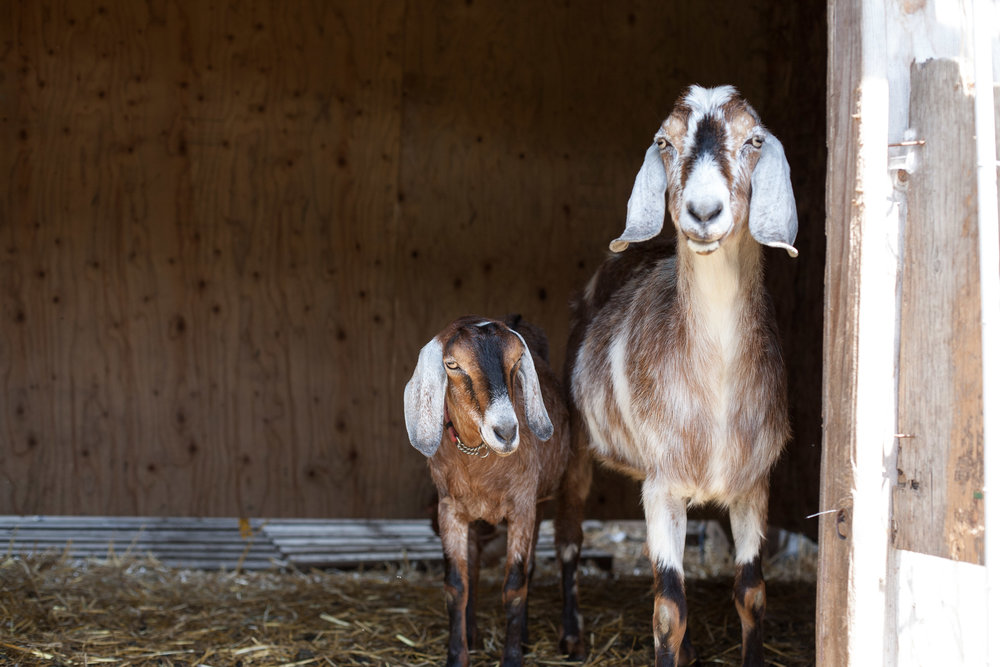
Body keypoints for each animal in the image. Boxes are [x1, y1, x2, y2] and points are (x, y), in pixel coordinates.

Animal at [406, 314, 592, 667]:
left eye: (516, 362)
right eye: (452, 364)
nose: (506, 431)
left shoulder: (521, 507)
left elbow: (515, 585)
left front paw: (512, 658)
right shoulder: (451, 509)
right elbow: (457, 585)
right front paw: (460, 652)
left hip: (573, 477)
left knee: (568, 547)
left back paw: (573, 639)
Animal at [568, 85, 800, 667]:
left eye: (754, 140)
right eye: (664, 142)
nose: (703, 211)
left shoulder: (753, 485)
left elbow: (752, 594)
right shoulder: (662, 486)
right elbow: (668, 609)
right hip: (574, 443)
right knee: (568, 537)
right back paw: (571, 634)